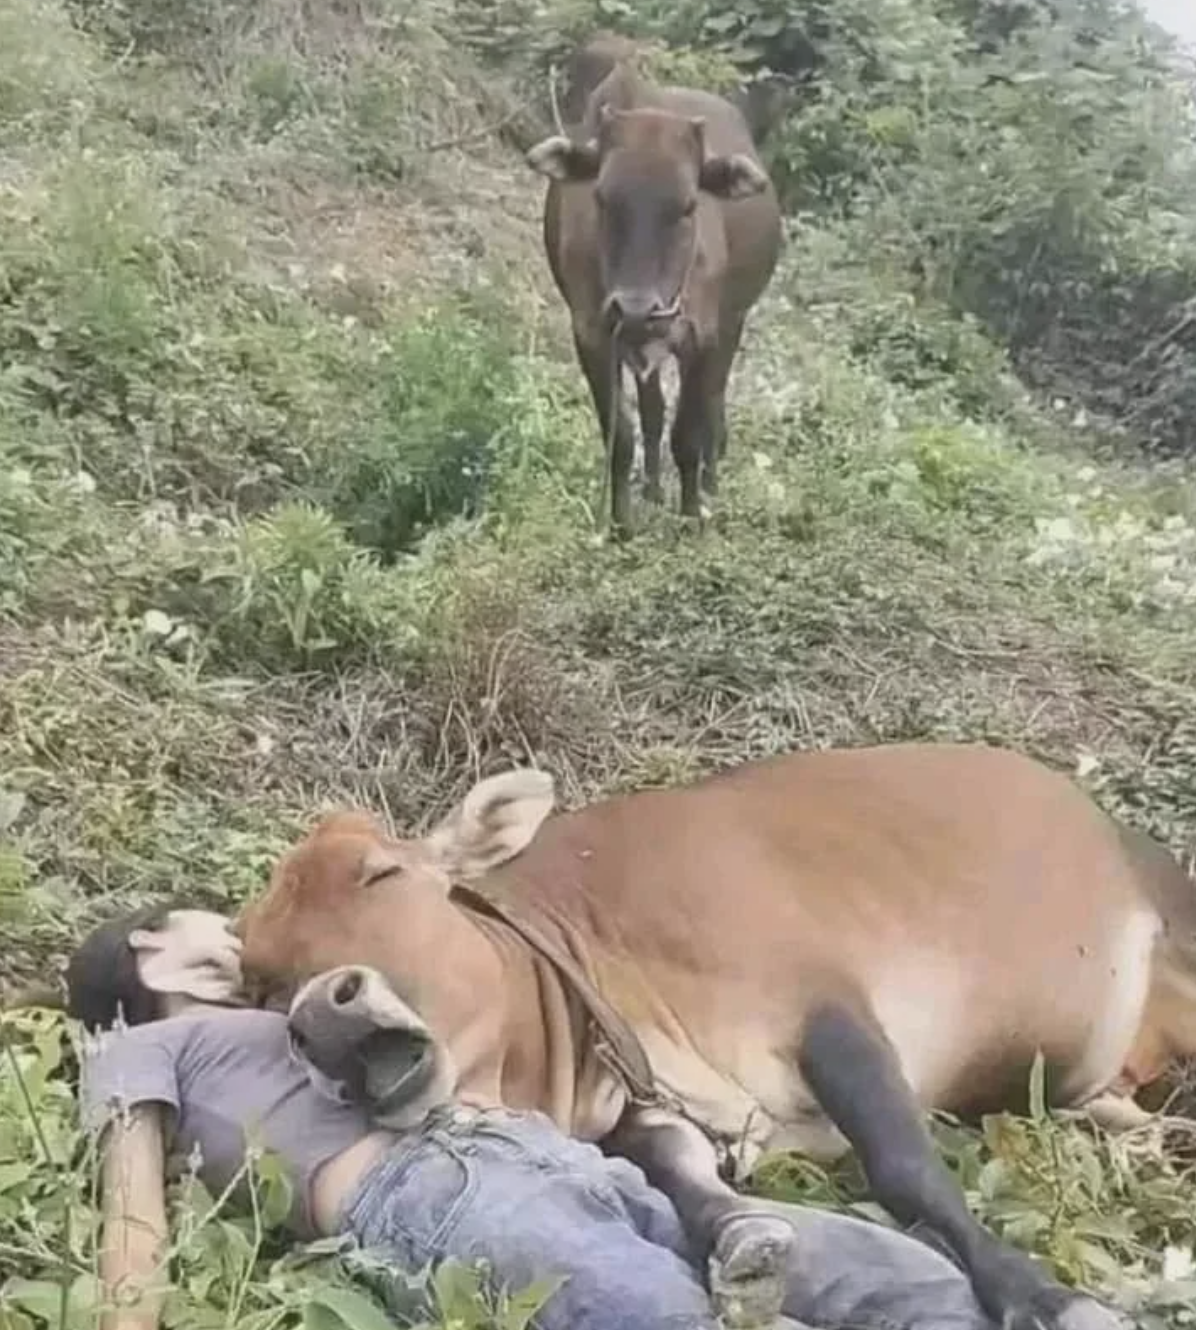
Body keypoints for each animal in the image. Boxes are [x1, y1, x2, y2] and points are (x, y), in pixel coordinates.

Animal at [525, 42, 784, 536]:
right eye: (602, 198)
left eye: (687, 206)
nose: (638, 308)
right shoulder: (594, 335)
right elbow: (621, 435)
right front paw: (621, 524)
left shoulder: (702, 336)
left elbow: (688, 434)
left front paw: (691, 515)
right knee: (653, 409)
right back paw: (652, 489)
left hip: (731, 323)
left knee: (713, 405)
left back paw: (709, 482)